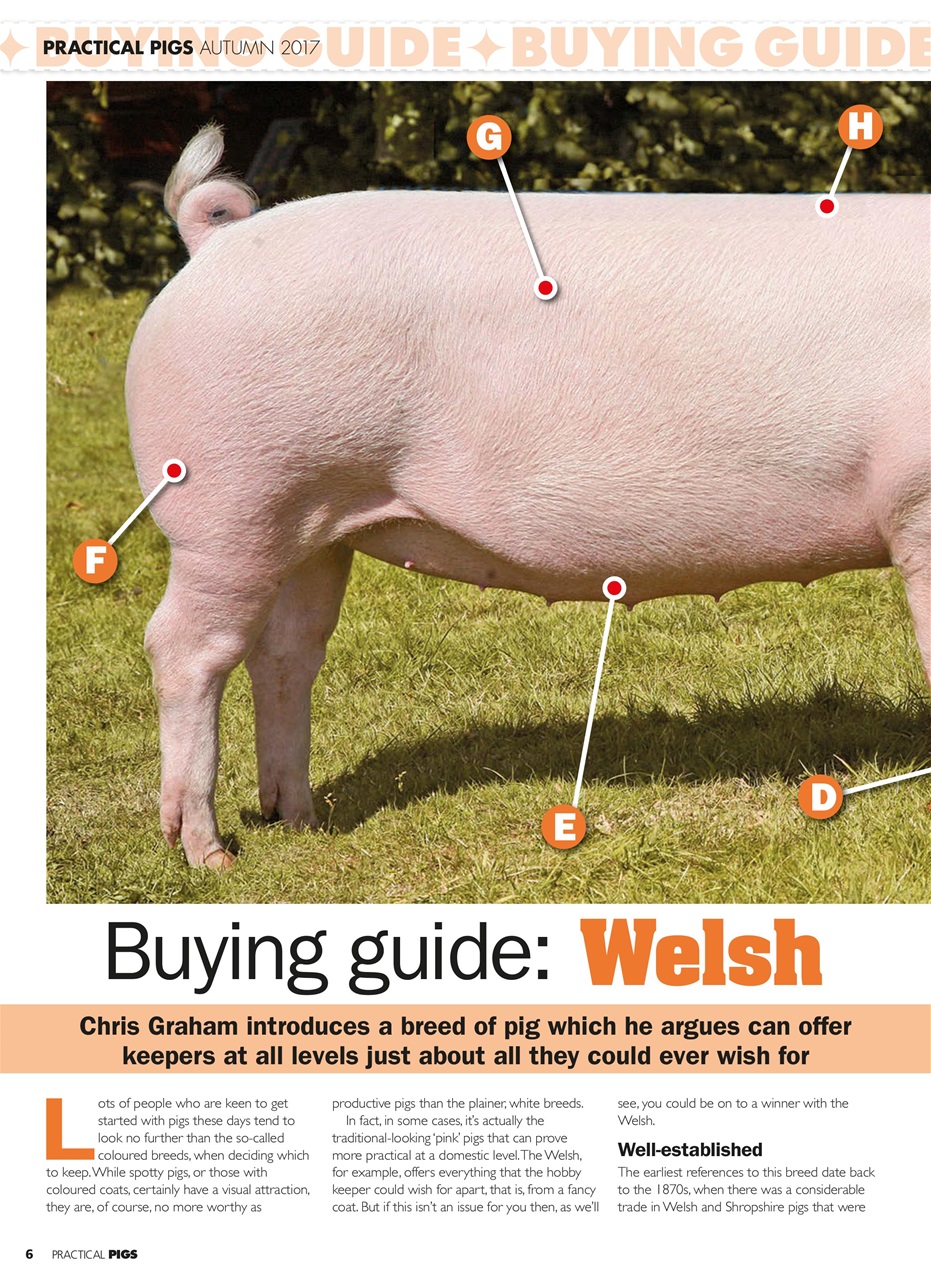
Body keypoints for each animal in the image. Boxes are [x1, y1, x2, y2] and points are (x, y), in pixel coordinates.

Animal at [125, 124, 930, 868]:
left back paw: (300, 821)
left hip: (312, 526)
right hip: (230, 509)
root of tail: (214, 243)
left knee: (286, 651)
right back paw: (210, 853)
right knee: (186, 649)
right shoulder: (914, 506)